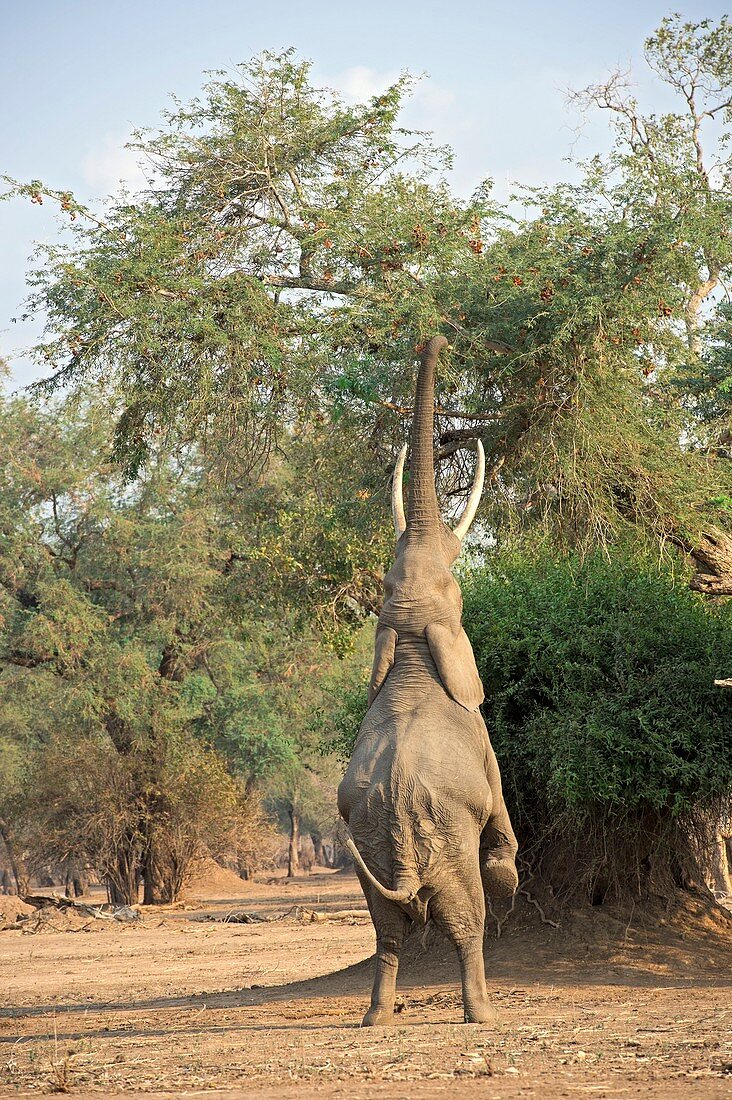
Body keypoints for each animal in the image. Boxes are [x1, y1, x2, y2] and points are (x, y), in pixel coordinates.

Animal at [339, 332, 519, 1020]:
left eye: (390, 586)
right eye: (456, 588)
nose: (432, 337)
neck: (415, 640)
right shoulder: (482, 737)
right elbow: (500, 816)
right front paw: (509, 875)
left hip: (372, 848)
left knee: (388, 930)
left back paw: (374, 1019)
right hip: (444, 843)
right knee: (467, 920)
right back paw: (482, 1012)